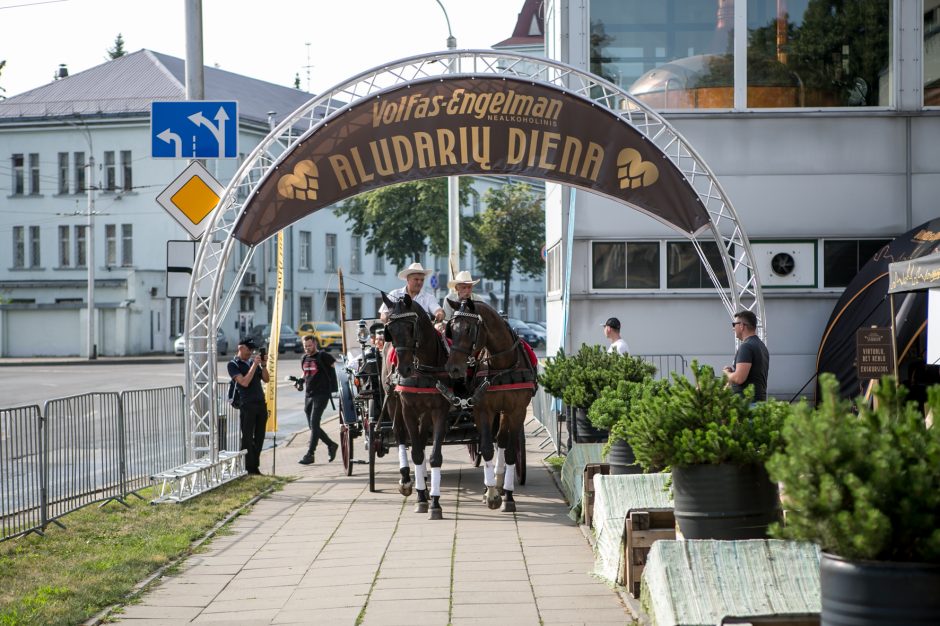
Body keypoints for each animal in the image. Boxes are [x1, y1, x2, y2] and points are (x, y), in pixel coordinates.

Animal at [384, 292, 454, 516]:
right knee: (399, 434)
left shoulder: (439, 410)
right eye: (390, 330)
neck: (423, 367)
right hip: (393, 402)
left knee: (422, 440)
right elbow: (414, 453)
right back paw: (407, 479)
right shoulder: (408, 410)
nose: (404, 369)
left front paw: (434, 501)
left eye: (410, 327)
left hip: (425, 413)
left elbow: (434, 456)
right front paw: (421, 497)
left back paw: (422, 478)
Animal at [446, 298, 536, 512]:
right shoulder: (483, 410)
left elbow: (510, 452)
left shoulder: (517, 411)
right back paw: (492, 485)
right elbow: (486, 447)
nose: (453, 368)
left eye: (469, 329)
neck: (502, 366)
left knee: (502, 440)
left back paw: (501, 481)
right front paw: (491, 494)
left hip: (505, 412)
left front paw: (508, 496)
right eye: (451, 330)